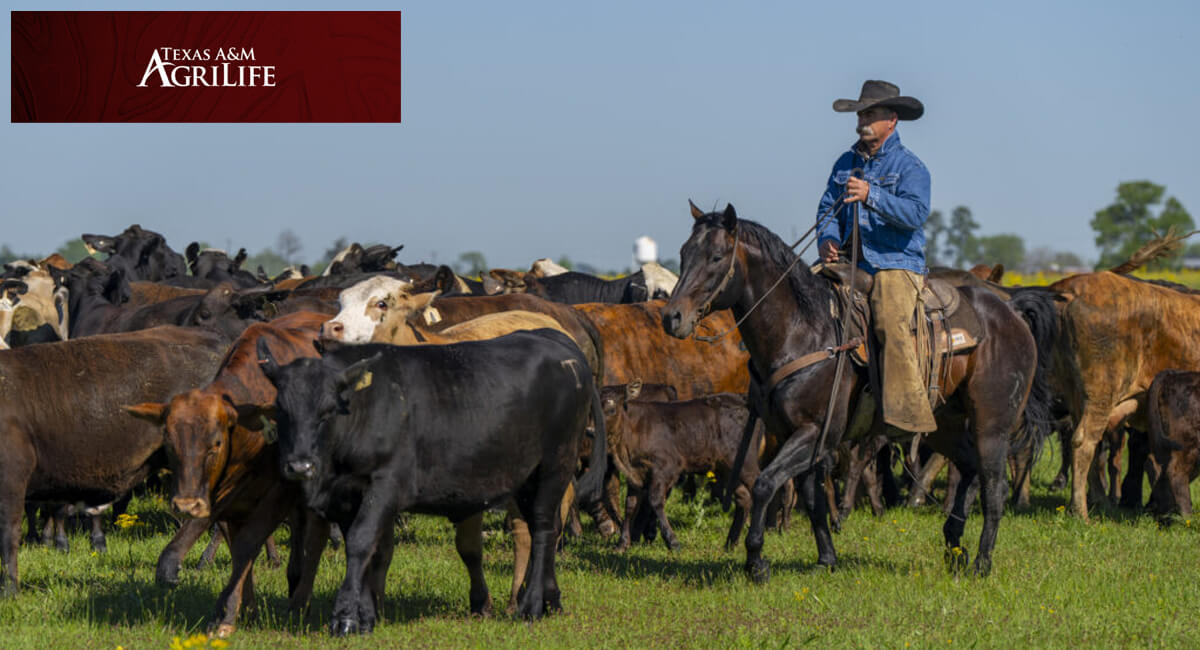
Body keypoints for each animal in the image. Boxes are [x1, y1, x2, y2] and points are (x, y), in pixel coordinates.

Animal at [256, 328, 604, 633]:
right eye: (280, 408)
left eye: (328, 410)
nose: (299, 465)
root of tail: (556, 342)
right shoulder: (344, 498)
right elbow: (371, 552)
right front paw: (367, 617)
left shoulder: (385, 485)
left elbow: (361, 543)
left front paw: (346, 619)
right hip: (524, 477)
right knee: (542, 528)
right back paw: (551, 600)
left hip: (555, 466)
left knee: (544, 530)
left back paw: (530, 606)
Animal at [667, 203, 1051, 580]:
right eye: (684, 253)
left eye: (716, 257)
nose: (673, 317)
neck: (803, 331)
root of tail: (1010, 312)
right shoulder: (795, 435)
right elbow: (811, 498)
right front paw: (826, 559)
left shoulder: (815, 432)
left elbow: (765, 484)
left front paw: (756, 561)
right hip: (944, 424)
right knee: (969, 470)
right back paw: (955, 549)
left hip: (992, 424)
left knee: (993, 487)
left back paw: (981, 563)